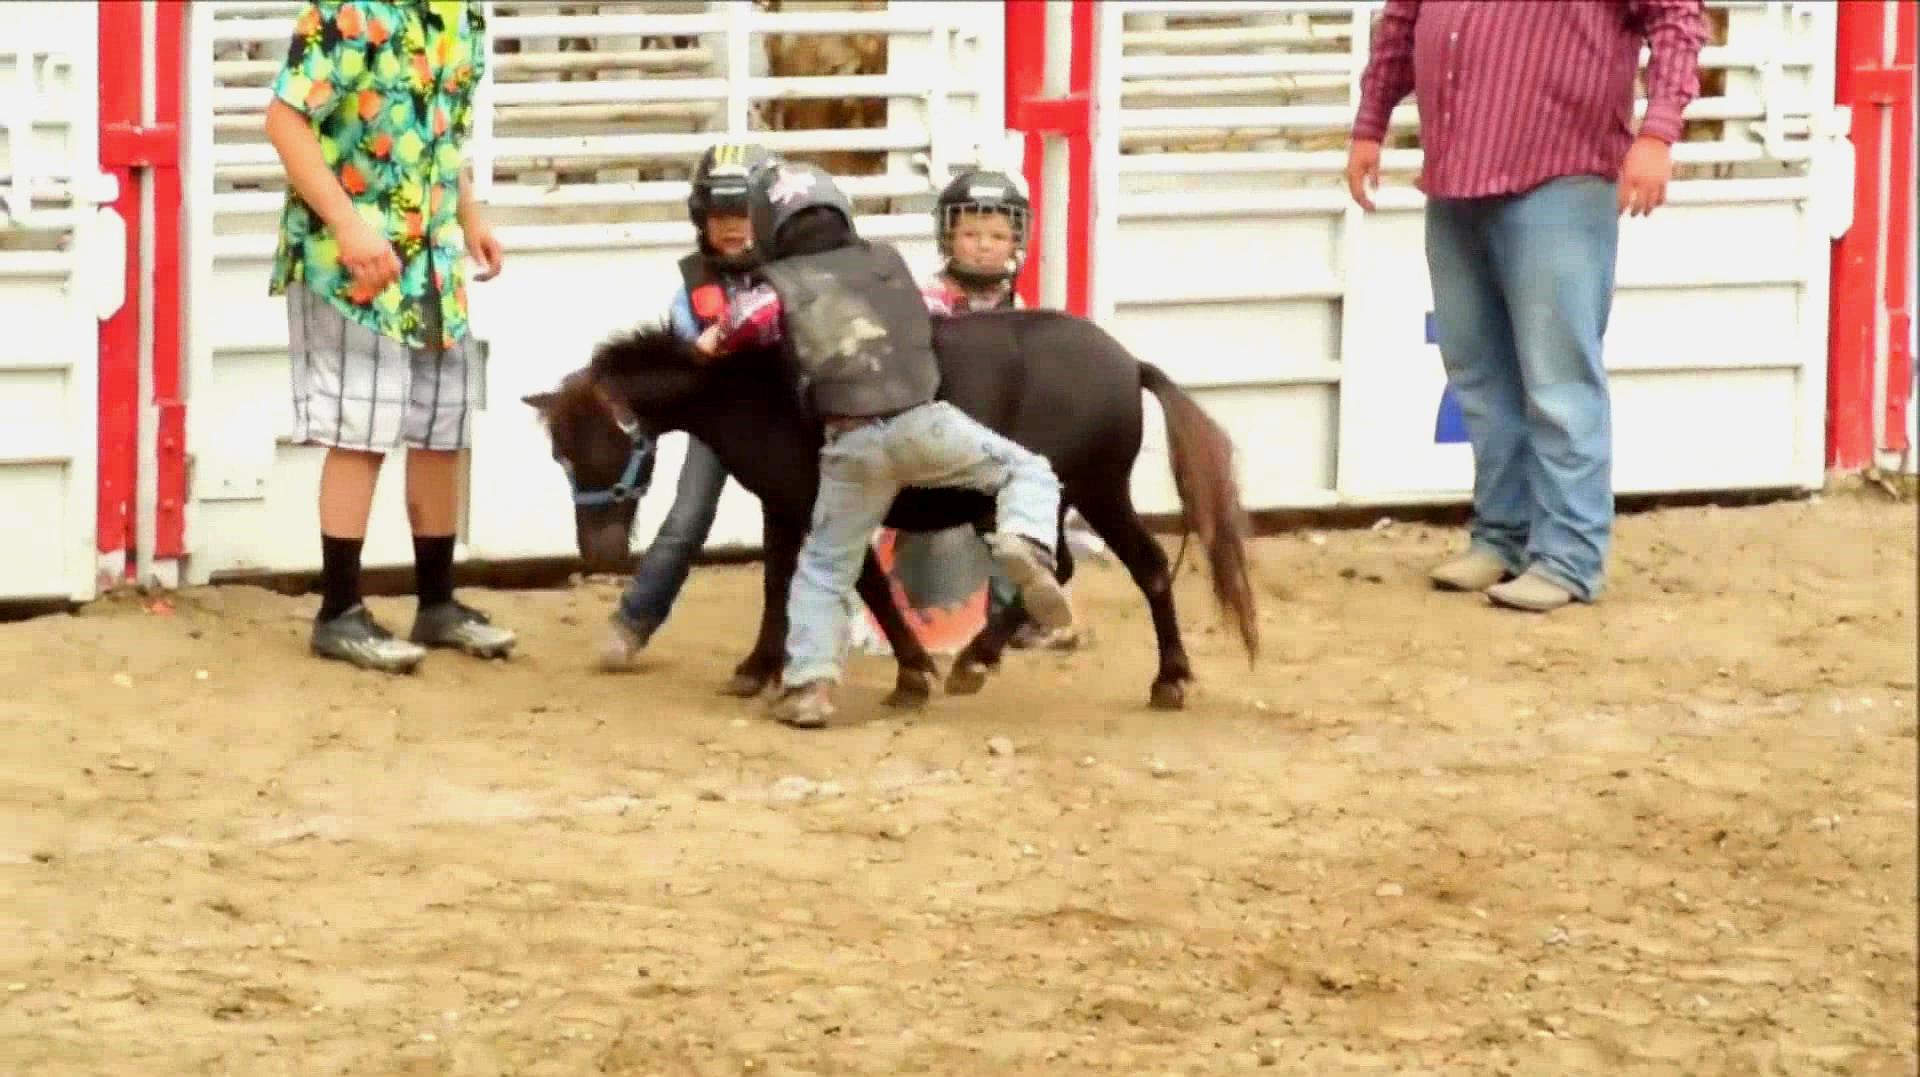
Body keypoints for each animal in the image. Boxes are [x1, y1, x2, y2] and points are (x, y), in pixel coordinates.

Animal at [522, 309, 1259, 714]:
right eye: (558, 452)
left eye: (607, 444)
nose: (599, 552)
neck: (749, 387)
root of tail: (1128, 364)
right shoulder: (783, 508)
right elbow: (777, 586)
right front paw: (757, 669)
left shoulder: (825, 504)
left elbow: (863, 585)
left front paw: (912, 672)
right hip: (1081, 494)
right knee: (1117, 567)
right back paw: (1157, 678)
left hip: (1084, 488)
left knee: (1098, 567)